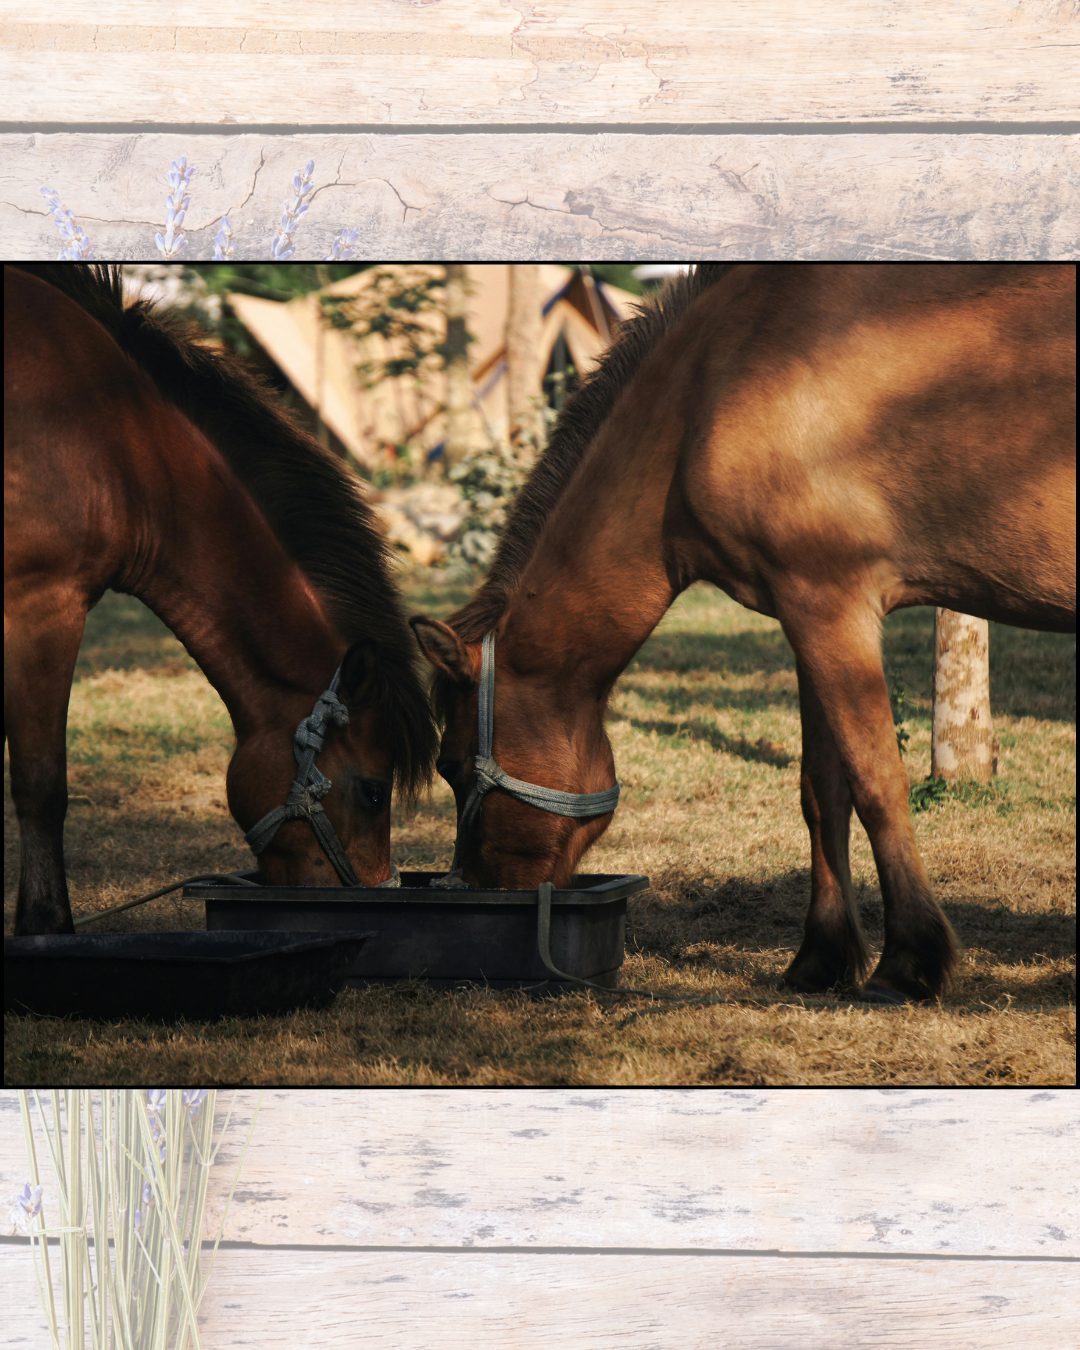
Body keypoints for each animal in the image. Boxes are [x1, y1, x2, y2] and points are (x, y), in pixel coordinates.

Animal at [5, 264, 437, 935]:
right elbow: (41, 784)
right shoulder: (42, 607)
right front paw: (47, 924)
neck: (117, 442)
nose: (371, 893)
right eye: (373, 791)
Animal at [412, 263, 1075, 1005]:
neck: (714, 385)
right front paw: (821, 957)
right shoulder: (805, 617)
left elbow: (877, 781)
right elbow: (822, 790)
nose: (484, 889)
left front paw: (907, 961)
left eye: (449, 766)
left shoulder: (831, 605)